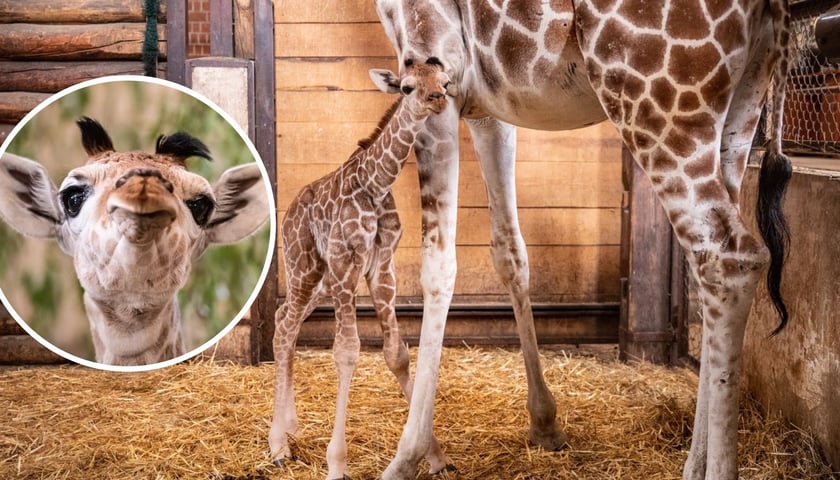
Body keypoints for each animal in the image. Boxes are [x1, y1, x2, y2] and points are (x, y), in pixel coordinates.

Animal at [270, 58, 452, 478]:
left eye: (445, 81)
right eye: (406, 87)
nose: (437, 99)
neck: (375, 184)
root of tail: (287, 216)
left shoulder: (381, 268)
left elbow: (396, 353)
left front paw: (434, 456)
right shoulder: (344, 264)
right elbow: (347, 351)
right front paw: (337, 463)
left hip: (317, 280)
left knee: (283, 317)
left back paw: (289, 428)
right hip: (304, 267)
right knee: (285, 327)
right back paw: (277, 445)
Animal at [370, 0, 792, 478]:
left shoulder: (437, 70)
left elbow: (438, 266)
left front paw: (408, 456)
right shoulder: (485, 108)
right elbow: (509, 252)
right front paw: (545, 424)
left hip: (657, 102)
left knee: (730, 256)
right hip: (744, 103)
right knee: (707, 267)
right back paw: (693, 462)